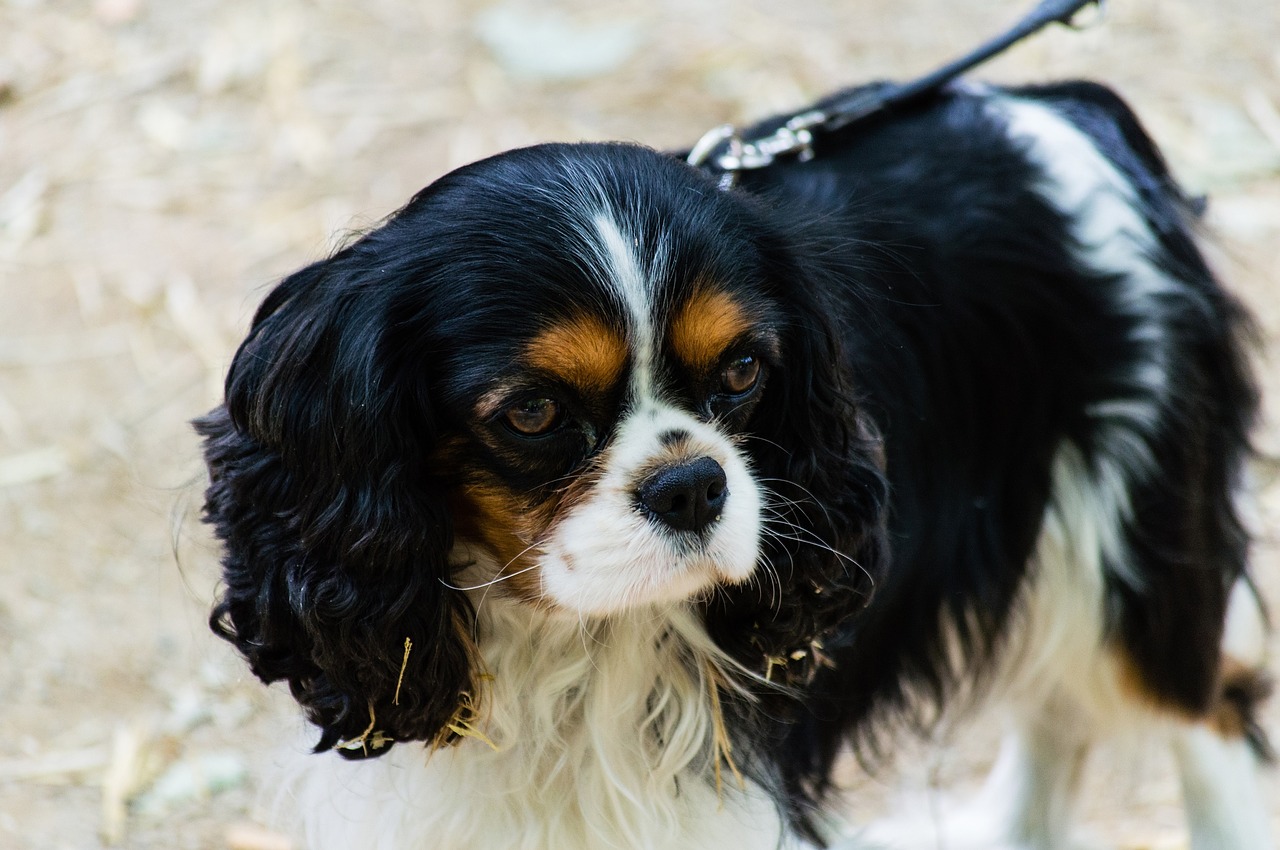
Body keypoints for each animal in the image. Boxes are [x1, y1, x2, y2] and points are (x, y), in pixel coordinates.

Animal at [194, 76, 1274, 844]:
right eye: (533, 411)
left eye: (745, 369)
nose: (693, 484)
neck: (565, 642)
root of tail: (1056, 111)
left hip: (1134, 541)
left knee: (1203, 712)